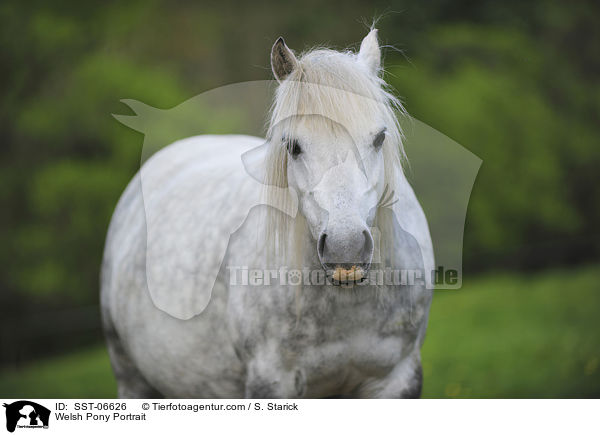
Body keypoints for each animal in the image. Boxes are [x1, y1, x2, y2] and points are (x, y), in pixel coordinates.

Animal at [101, 29, 434, 400]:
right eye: (292, 146)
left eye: (379, 138)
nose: (345, 248)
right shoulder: (271, 382)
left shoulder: (398, 378)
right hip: (131, 379)